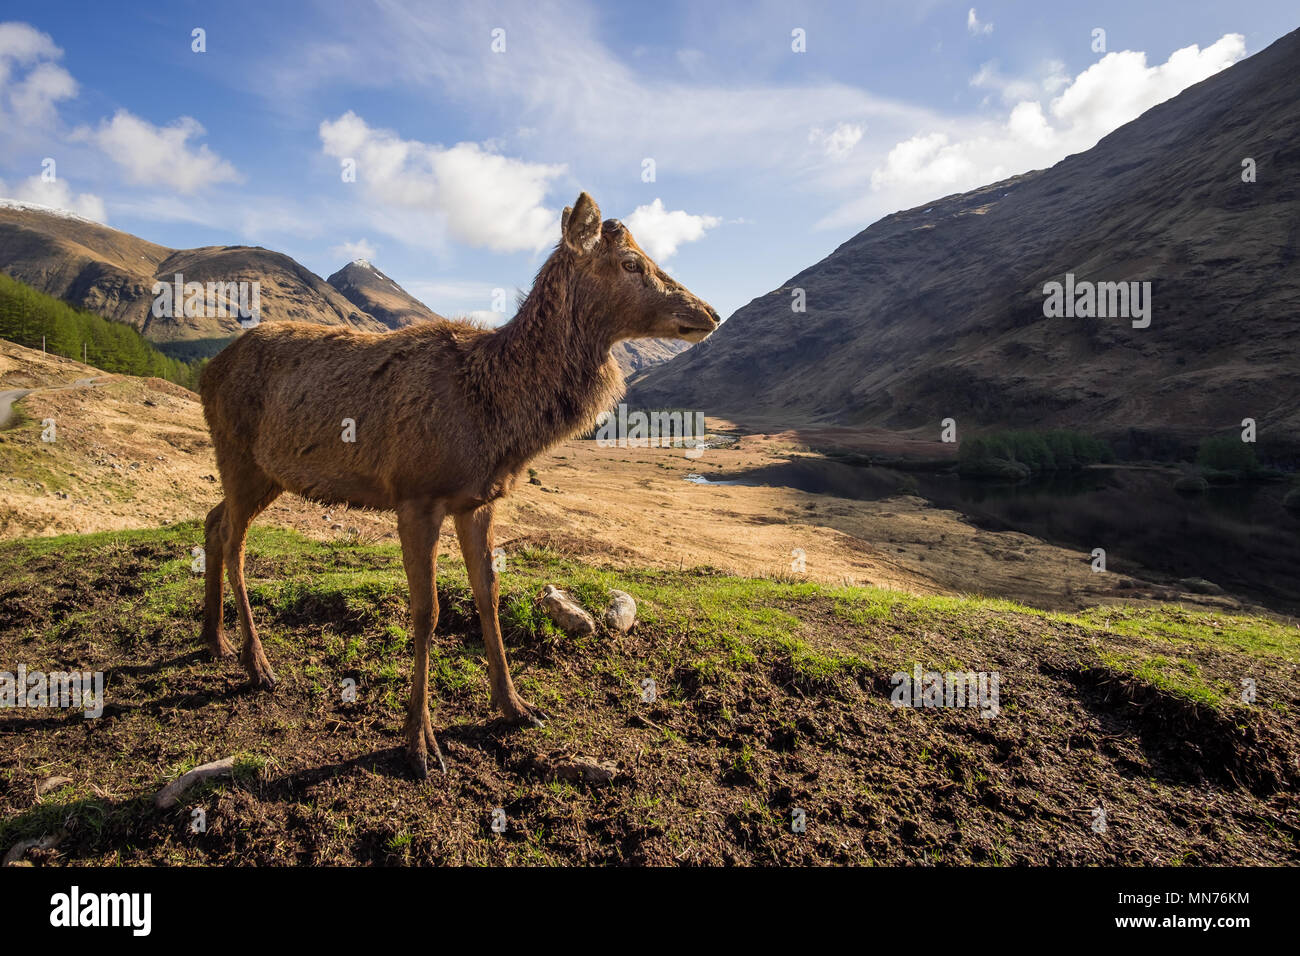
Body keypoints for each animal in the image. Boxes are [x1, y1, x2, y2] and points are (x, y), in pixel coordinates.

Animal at [198, 192, 719, 778]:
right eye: (631, 262)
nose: (710, 313)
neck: (496, 415)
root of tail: (204, 372)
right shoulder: (414, 496)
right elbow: (427, 613)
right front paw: (419, 743)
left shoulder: (479, 502)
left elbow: (487, 595)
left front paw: (515, 706)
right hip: (239, 455)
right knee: (234, 542)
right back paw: (257, 664)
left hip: (265, 472)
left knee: (213, 521)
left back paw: (214, 639)